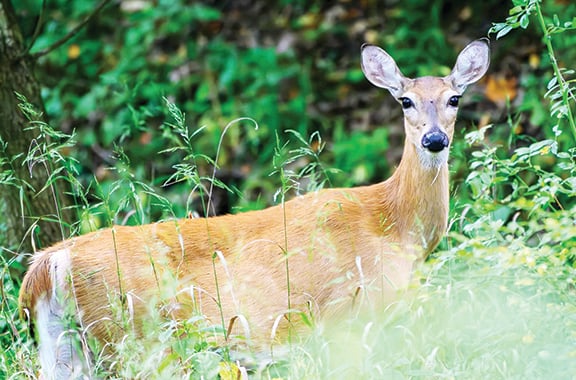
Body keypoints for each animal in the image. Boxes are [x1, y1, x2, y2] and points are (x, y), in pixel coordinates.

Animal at [19, 37, 490, 378]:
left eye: (454, 99)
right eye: (405, 101)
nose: (434, 139)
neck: (394, 223)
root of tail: (49, 263)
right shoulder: (355, 315)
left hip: (64, 345)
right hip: (134, 339)